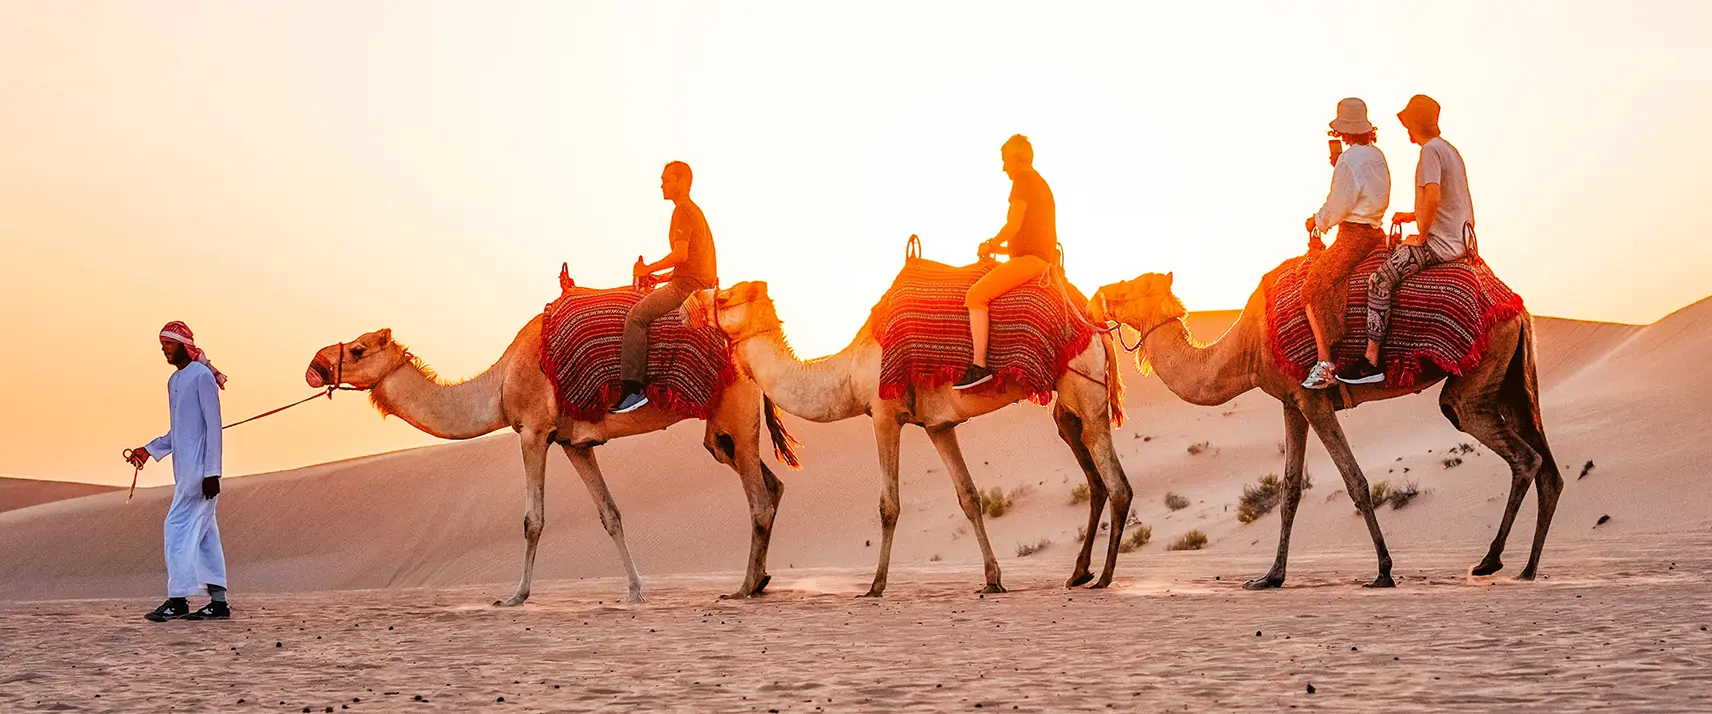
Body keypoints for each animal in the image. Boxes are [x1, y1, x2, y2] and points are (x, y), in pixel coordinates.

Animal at [303, 317, 799, 605]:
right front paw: (635, 591)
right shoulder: (574, 443)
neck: (498, 386)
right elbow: (610, 514)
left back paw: (743, 589)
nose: (314, 365)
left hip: (733, 409)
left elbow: (532, 520)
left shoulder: (534, 432)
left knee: (758, 500)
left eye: (358, 350)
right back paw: (761, 580)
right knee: (769, 485)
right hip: (722, 432)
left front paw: (516, 595)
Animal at [690, 279, 1131, 595]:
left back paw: (1104, 577)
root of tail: (1096, 329)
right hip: (1068, 405)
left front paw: (875, 586)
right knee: (1093, 475)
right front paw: (992, 579)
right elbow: (969, 497)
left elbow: (889, 505)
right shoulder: (938, 426)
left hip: (1084, 386)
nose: (692, 300)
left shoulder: (884, 414)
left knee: (1117, 484)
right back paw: (1079, 573)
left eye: (725, 297)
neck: (847, 373)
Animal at [1094, 271, 1562, 589]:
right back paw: (1528, 568)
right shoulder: (1291, 402)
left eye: (1130, 287)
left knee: (1521, 454)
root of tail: (1517, 308)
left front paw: (1384, 571)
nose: (1099, 297)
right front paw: (1270, 577)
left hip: (1477, 375)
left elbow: (1355, 481)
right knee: (1547, 468)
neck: (1246, 349)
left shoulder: (1313, 398)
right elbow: (1289, 490)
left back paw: (1491, 561)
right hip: (1509, 378)